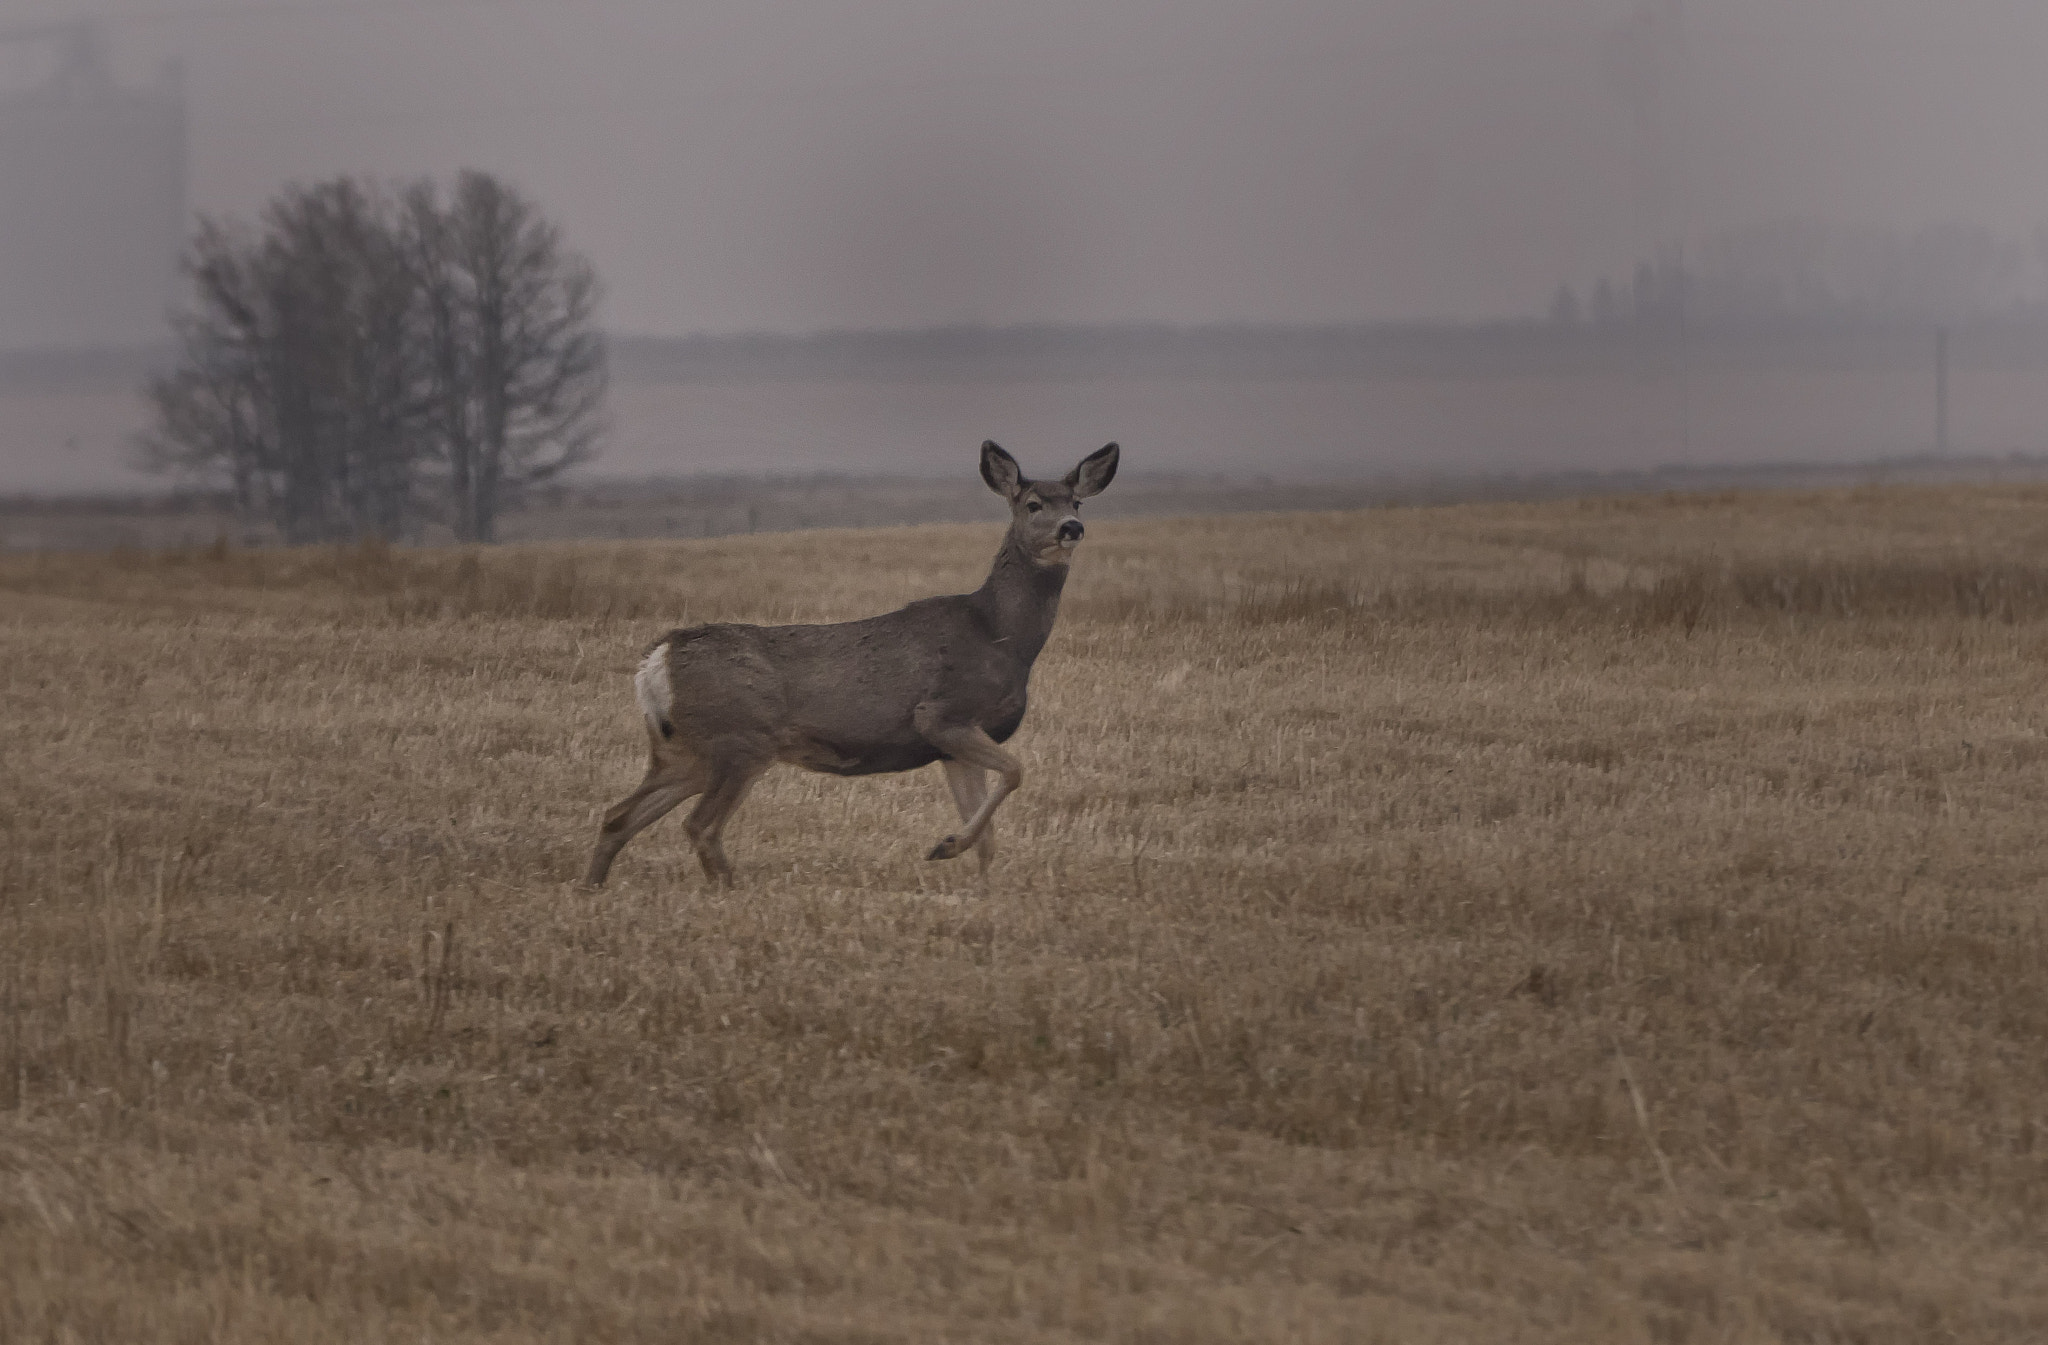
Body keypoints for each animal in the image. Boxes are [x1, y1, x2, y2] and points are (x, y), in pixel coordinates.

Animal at [585, 436, 1114, 888]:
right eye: (1033, 504)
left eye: (1076, 502)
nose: (1072, 528)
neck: (999, 635)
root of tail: (655, 662)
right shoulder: (942, 714)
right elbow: (1015, 772)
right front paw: (944, 845)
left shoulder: (953, 745)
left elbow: (988, 834)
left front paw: (976, 878)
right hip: (741, 739)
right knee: (699, 825)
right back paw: (730, 889)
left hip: (685, 750)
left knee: (617, 816)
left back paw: (593, 888)